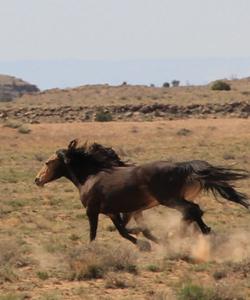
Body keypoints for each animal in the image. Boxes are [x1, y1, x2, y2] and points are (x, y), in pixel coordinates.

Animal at [35, 139, 250, 250]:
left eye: (48, 162)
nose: (37, 180)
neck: (90, 176)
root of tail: (182, 166)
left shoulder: (92, 210)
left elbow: (96, 233)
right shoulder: (118, 211)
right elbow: (126, 229)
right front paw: (146, 241)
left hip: (169, 199)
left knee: (192, 210)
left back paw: (187, 233)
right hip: (174, 198)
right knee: (193, 212)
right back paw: (201, 232)